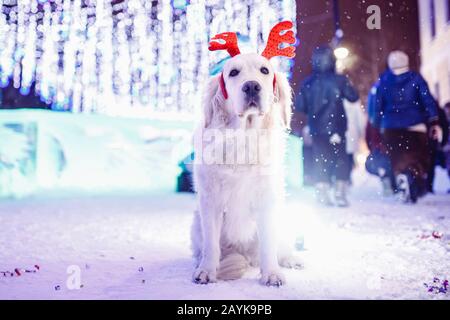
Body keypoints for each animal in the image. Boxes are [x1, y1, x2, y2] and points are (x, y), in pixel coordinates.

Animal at [191, 23, 300, 288]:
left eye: (264, 70)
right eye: (233, 73)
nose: (251, 86)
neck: (244, 138)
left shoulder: (267, 198)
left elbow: (269, 243)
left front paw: (271, 273)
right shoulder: (210, 200)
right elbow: (211, 244)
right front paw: (206, 271)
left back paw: (291, 258)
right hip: (195, 223)